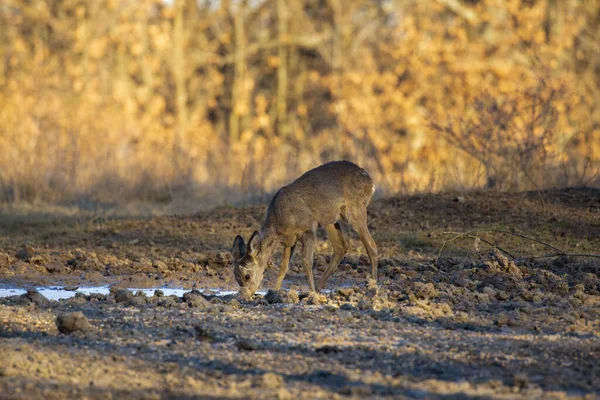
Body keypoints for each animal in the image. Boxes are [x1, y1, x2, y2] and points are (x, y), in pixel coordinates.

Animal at [232, 160, 378, 296]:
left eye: (247, 276)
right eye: (236, 277)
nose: (243, 295)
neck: (278, 224)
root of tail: (369, 180)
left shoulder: (308, 229)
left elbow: (306, 262)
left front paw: (311, 292)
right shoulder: (289, 240)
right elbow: (284, 266)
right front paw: (275, 290)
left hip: (355, 208)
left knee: (371, 245)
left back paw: (373, 285)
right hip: (330, 219)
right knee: (341, 247)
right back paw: (319, 287)